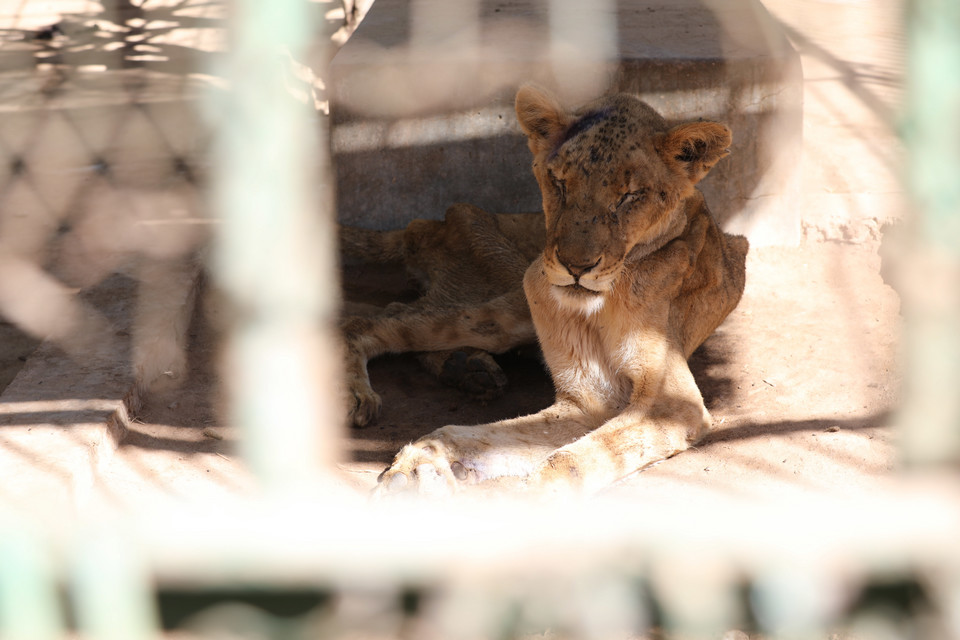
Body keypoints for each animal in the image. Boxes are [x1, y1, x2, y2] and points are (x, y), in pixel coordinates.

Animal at [342, 85, 748, 496]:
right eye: (560, 183)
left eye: (629, 196)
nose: (576, 266)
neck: (599, 307)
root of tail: (424, 225)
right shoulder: (588, 399)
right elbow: (498, 438)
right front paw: (423, 460)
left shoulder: (669, 403)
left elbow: (572, 456)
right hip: (511, 299)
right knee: (366, 321)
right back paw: (366, 393)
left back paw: (468, 369)